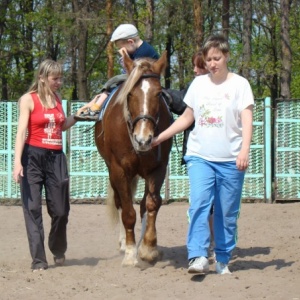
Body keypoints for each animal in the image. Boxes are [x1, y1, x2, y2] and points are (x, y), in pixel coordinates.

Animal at [95, 50, 172, 266]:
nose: (143, 139)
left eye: (158, 93)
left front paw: (148, 247)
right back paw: (124, 244)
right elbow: (128, 212)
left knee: (144, 205)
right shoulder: (119, 171)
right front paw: (130, 253)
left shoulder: (158, 169)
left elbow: (151, 205)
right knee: (121, 203)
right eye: (129, 94)